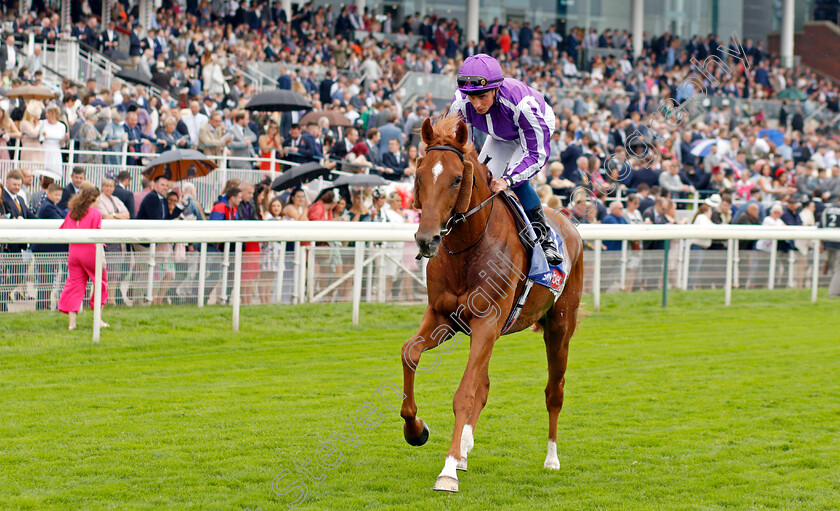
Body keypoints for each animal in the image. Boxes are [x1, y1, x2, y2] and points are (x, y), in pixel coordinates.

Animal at [400, 116, 584, 492]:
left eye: (457, 178)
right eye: (419, 174)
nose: (426, 240)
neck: (468, 247)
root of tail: (567, 222)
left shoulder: (487, 321)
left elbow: (465, 393)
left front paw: (447, 471)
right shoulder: (443, 317)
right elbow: (410, 353)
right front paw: (416, 430)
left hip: (560, 325)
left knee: (554, 391)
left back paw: (551, 458)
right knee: (483, 385)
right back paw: (465, 449)